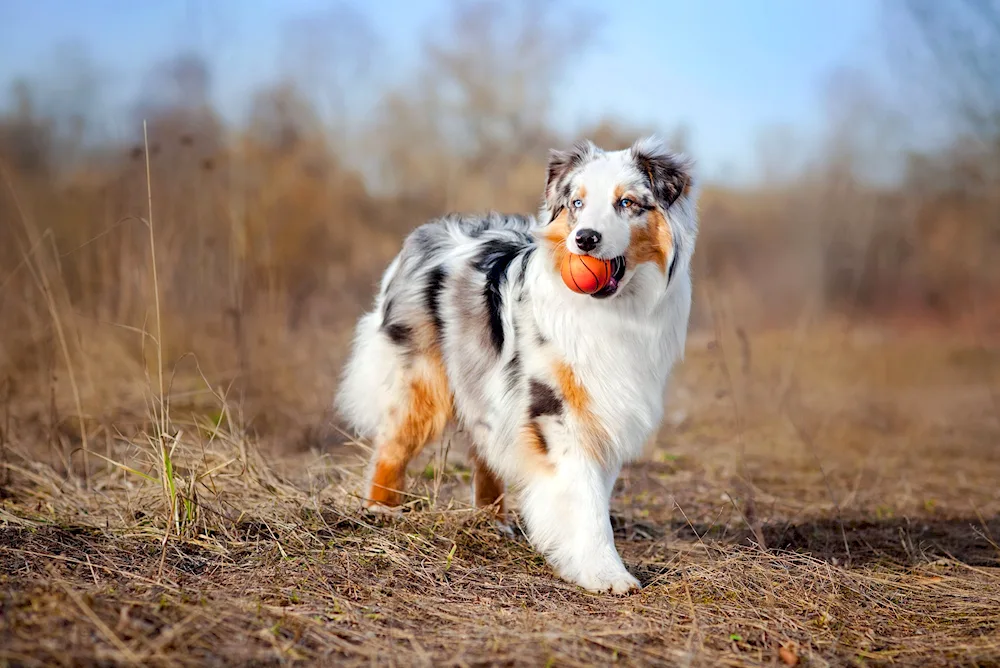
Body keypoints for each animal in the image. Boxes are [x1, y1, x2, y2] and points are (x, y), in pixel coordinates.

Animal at [336, 134, 696, 588]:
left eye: (627, 203)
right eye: (577, 203)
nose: (585, 239)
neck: (613, 311)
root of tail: (425, 233)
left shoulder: (605, 409)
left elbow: (593, 493)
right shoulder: (555, 410)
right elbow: (585, 500)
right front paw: (605, 572)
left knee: (485, 450)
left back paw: (493, 521)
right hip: (422, 381)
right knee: (393, 445)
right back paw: (381, 510)